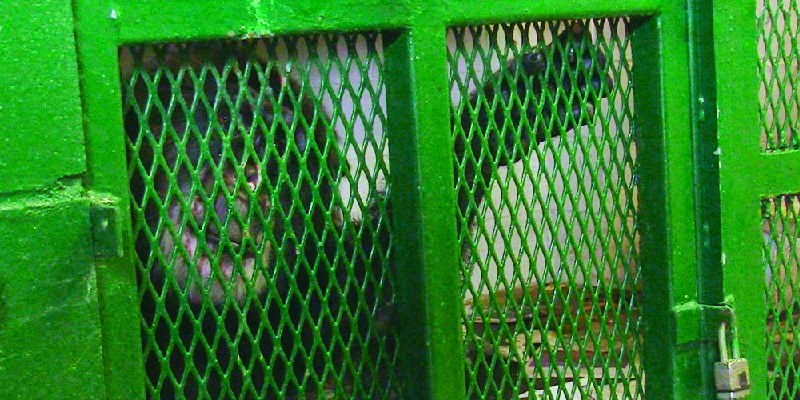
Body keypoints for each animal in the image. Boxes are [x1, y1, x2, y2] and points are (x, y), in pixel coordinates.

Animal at [126, 23, 612, 398]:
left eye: (278, 150)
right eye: (218, 126)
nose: (244, 186)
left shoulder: (320, 281)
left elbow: (390, 287)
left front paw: (526, 96)